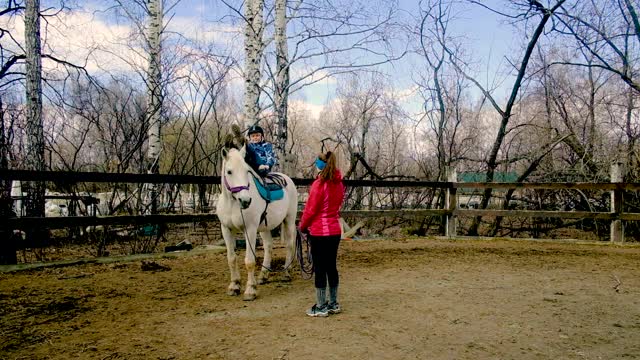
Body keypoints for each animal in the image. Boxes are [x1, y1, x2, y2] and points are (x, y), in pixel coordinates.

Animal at [216, 145, 298, 300]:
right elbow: (231, 258)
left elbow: (249, 261)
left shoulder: (250, 229)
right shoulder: (226, 229)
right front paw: (234, 286)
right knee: (268, 246)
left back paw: (286, 272)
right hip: (265, 227)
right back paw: (263, 276)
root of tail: (287, 179)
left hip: (289, 220)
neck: (232, 203)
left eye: (246, 171)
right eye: (229, 171)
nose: (245, 200)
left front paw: (250, 290)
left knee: (290, 245)